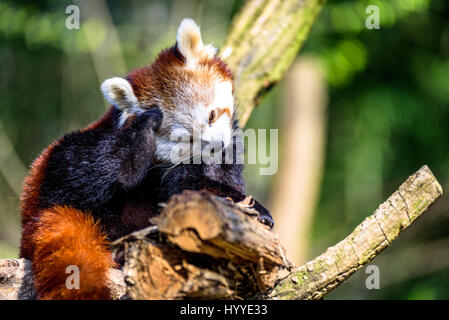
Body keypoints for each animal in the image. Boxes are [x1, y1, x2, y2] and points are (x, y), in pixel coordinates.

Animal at [20, 18, 272, 300]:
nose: (216, 146)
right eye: (184, 139)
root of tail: (37, 212)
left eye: (212, 115)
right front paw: (255, 209)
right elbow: (185, 189)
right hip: (62, 162)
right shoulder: (163, 171)